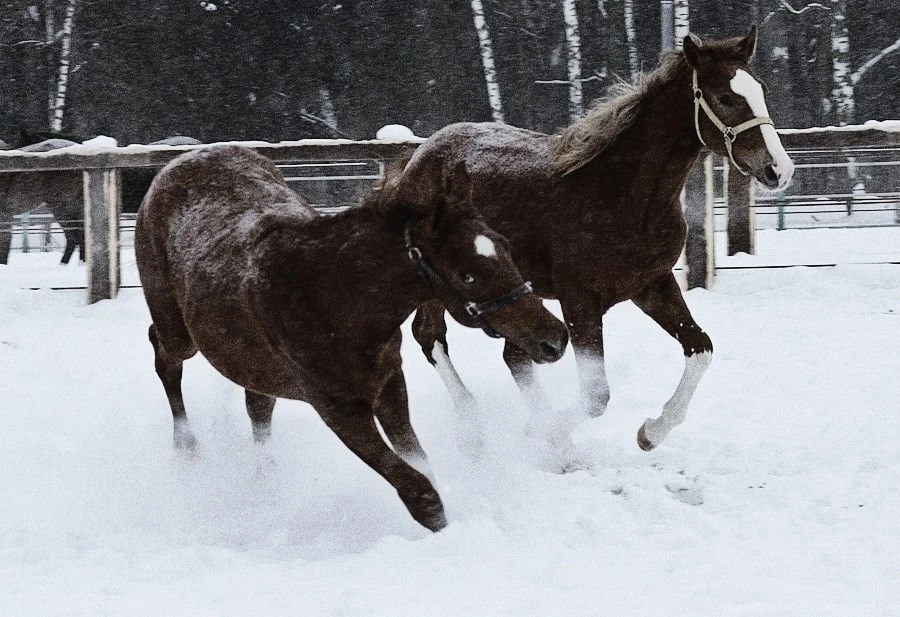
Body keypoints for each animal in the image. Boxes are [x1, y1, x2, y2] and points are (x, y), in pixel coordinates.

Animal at [134, 144, 568, 531]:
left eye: (506, 248)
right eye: (468, 275)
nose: (554, 338)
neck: (333, 299)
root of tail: (180, 161)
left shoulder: (389, 383)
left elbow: (419, 460)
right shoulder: (338, 408)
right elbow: (418, 490)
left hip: (252, 363)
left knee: (257, 405)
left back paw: (267, 482)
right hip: (179, 332)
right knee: (164, 354)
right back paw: (186, 448)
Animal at [395, 27, 795, 451]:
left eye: (762, 89)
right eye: (725, 97)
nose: (779, 169)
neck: (623, 196)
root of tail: (418, 154)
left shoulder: (651, 284)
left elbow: (700, 348)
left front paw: (650, 433)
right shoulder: (579, 299)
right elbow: (595, 395)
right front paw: (554, 434)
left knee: (512, 355)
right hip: (442, 284)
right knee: (431, 336)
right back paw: (473, 427)